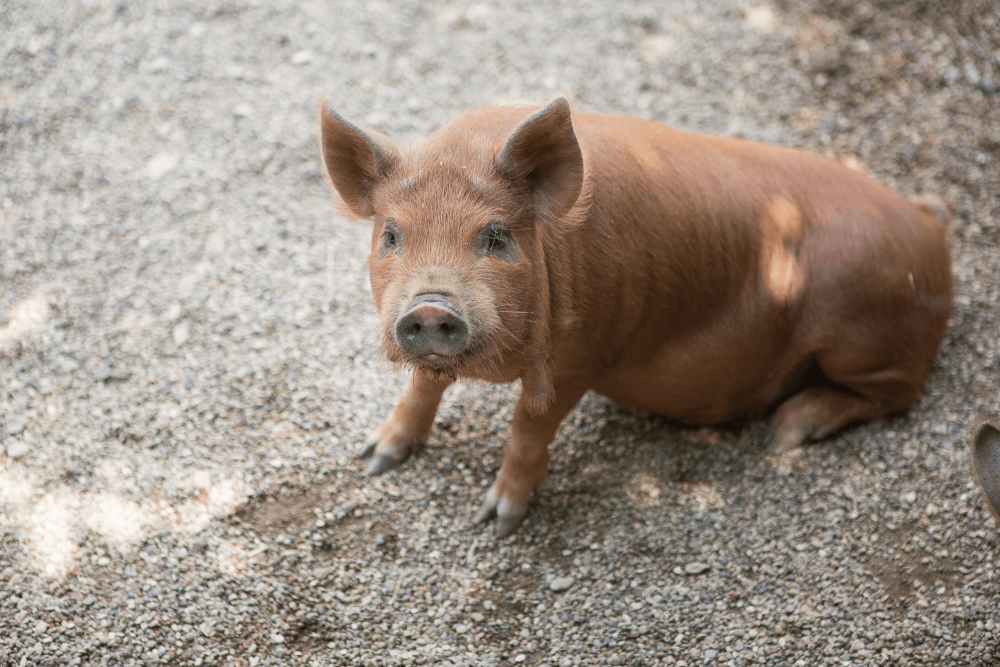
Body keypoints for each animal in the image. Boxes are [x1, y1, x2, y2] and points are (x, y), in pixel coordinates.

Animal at [316, 95, 953, 537]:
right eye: (391, 234)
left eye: (496, 237)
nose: (430, 305)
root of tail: (930, 228)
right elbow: (422, 387)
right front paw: (373, 460)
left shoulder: (582, 354)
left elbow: (528, 425)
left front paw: (496, 523)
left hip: (861, 334)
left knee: (901, 394)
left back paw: (789, 432)